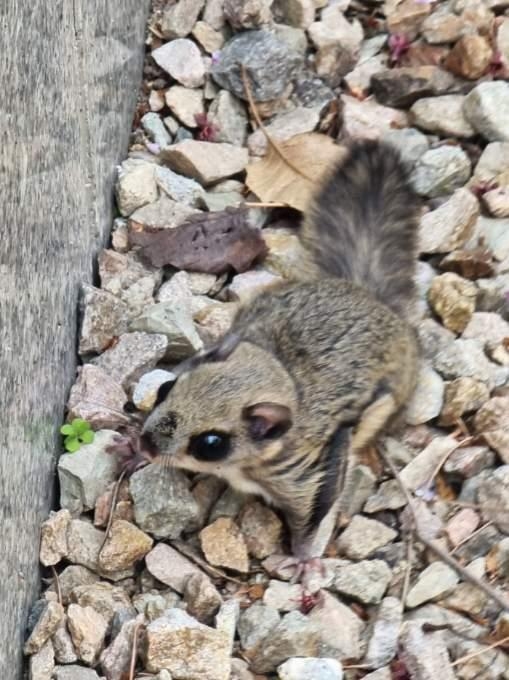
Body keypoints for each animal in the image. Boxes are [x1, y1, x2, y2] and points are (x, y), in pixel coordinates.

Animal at [138, 138, 416, 584]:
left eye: (211, 444)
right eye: (164, 389)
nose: (146, 446)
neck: (282, 373)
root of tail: (366, 293)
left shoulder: (311, 469)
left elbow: (315, 515)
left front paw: (303, 560)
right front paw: (124, 448)